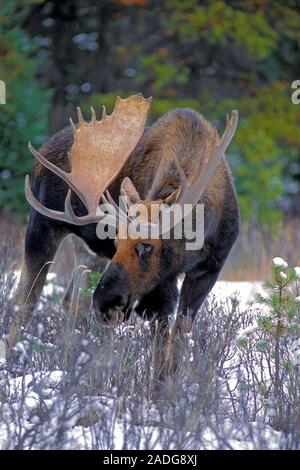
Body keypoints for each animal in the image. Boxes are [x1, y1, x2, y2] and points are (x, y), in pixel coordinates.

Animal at [12, 93, 239, 380]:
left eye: (147, 246)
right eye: (117, 241)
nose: (105, 304)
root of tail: (42, 153)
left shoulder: (209, 269)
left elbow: (177, 340)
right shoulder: (161, 285)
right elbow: (160, 342)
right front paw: (159, 388)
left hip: (88, 253)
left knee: (72, 303)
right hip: (43, 225)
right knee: (24, 301)